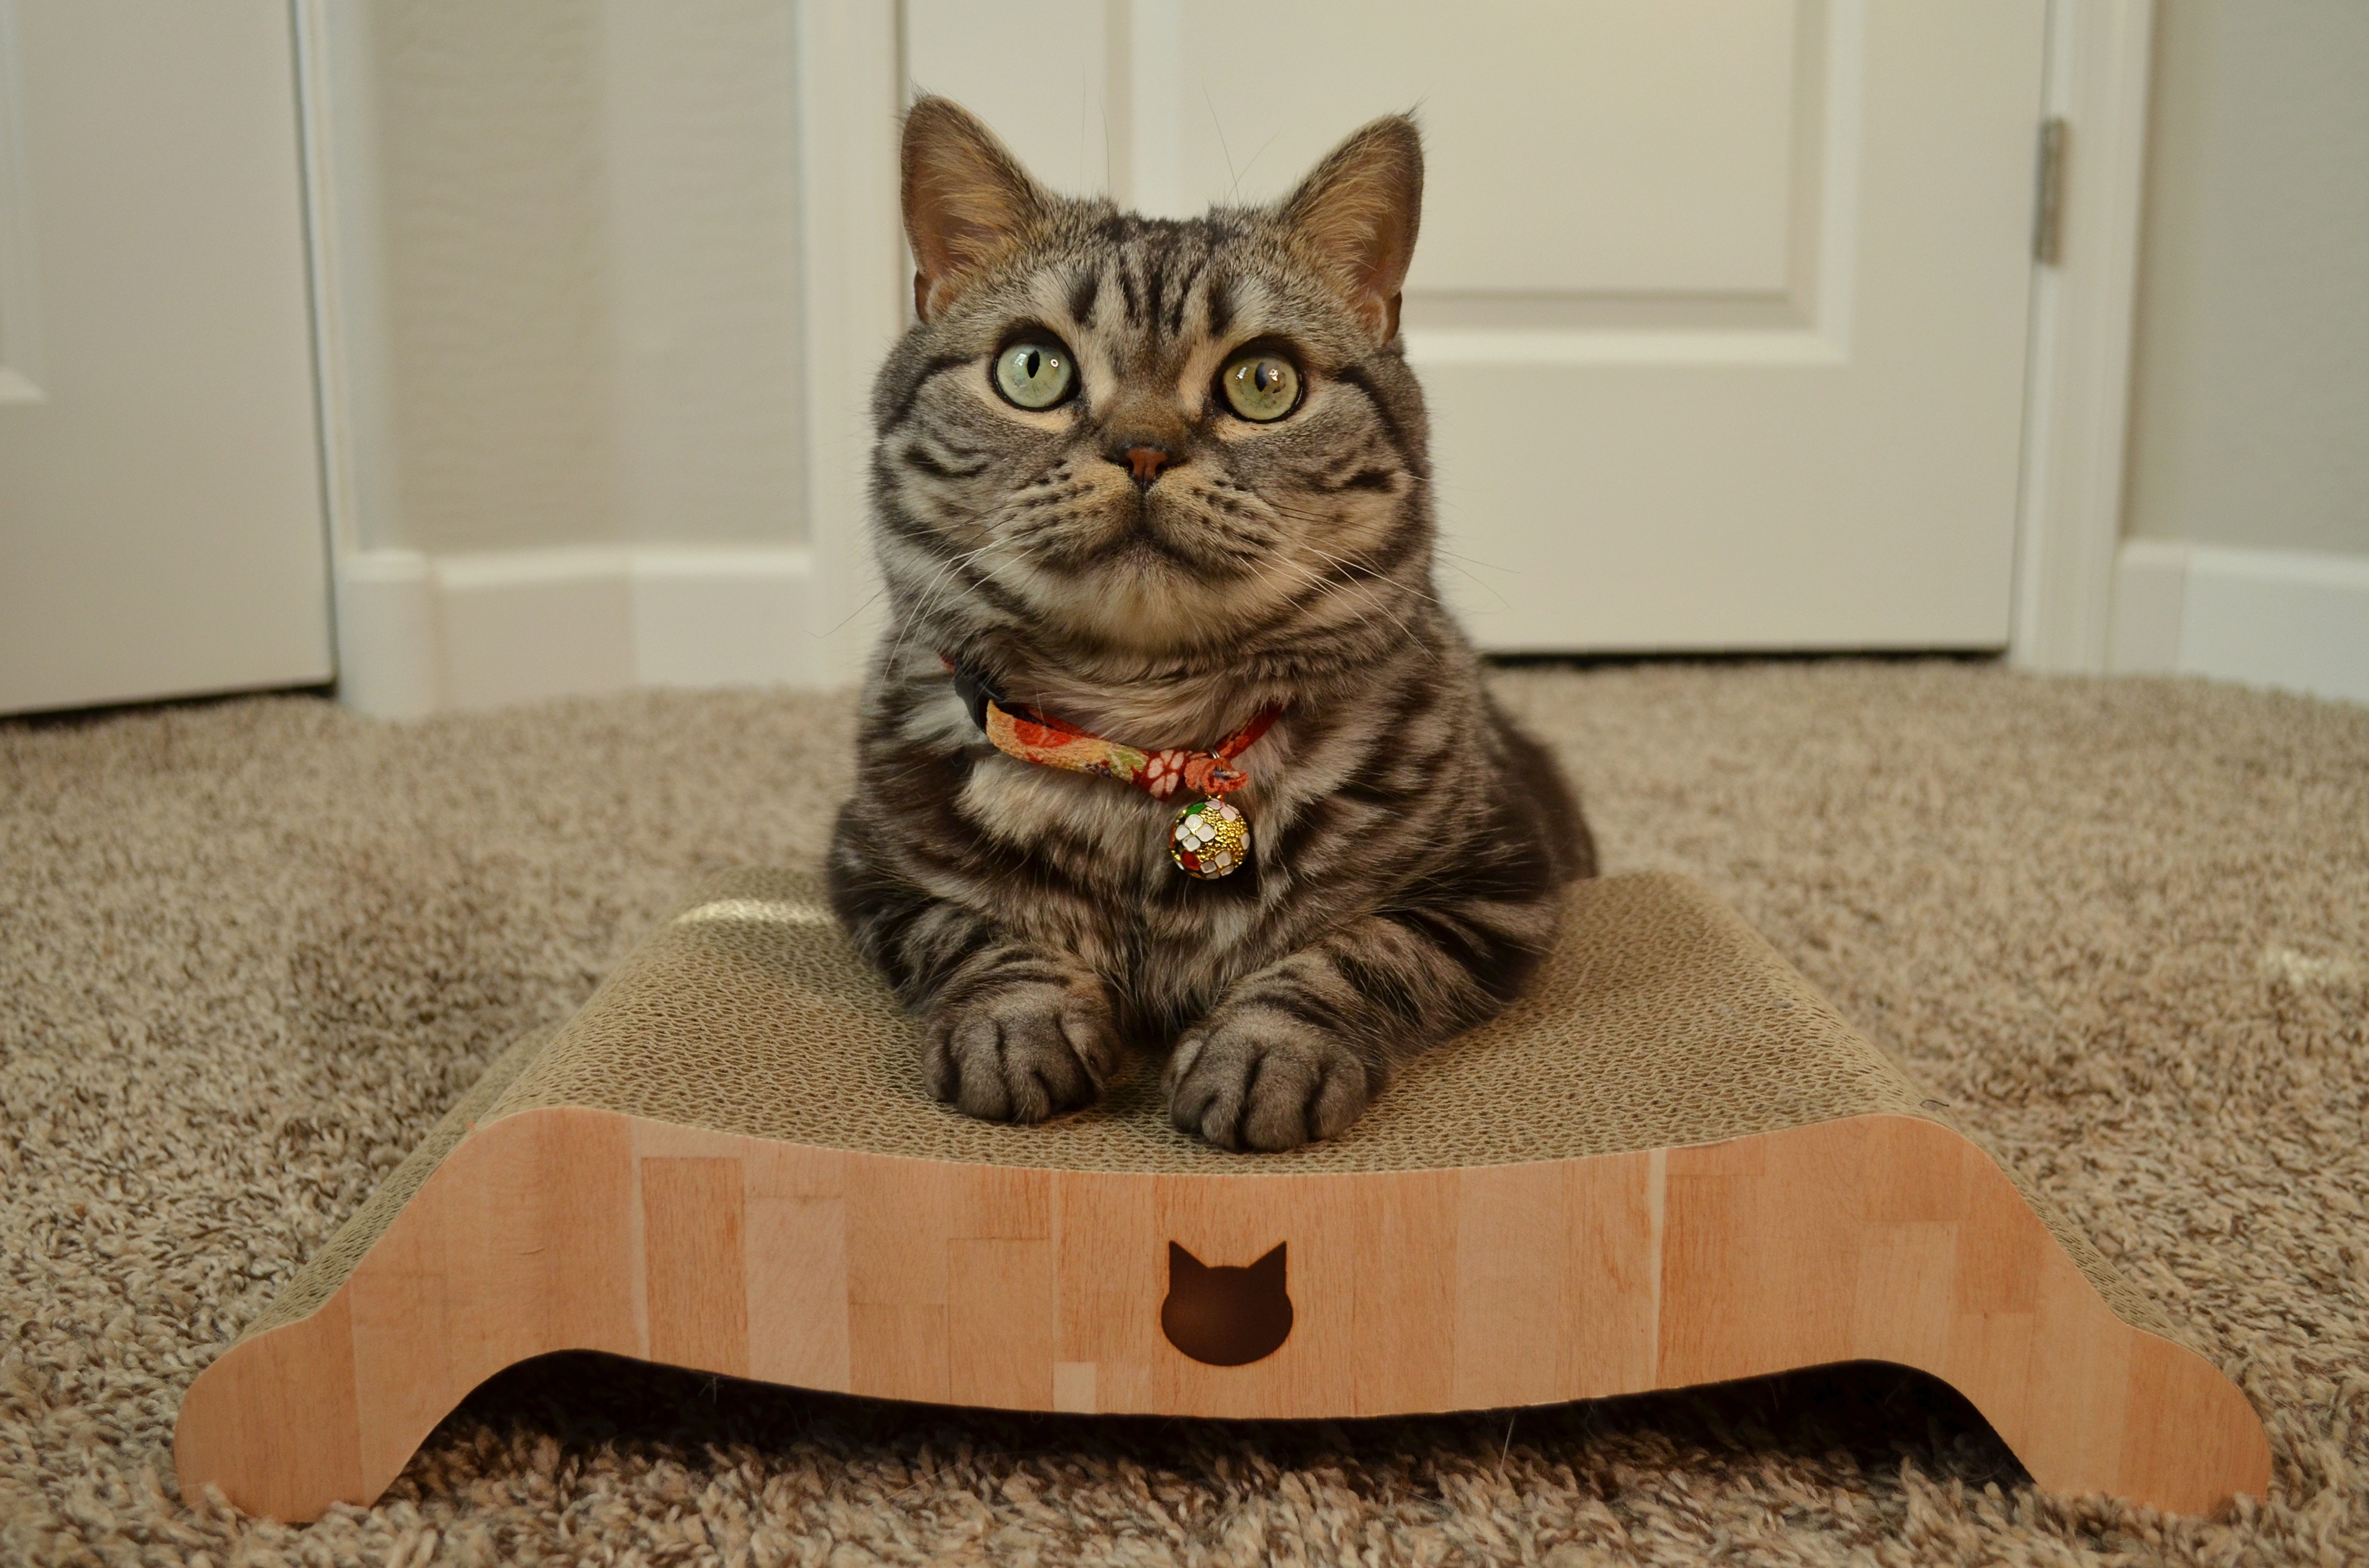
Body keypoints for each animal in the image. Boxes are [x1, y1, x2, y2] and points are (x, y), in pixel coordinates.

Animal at [829, 98, 1591, 1155]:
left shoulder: (1497, 879)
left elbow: (1356, 951)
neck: (1145, 731)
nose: (1143, 448)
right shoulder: (871, 868)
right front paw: (1015, 1021)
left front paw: (1263, 1052)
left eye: (1263, 383)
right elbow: (976, 931)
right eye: (1032, 367)